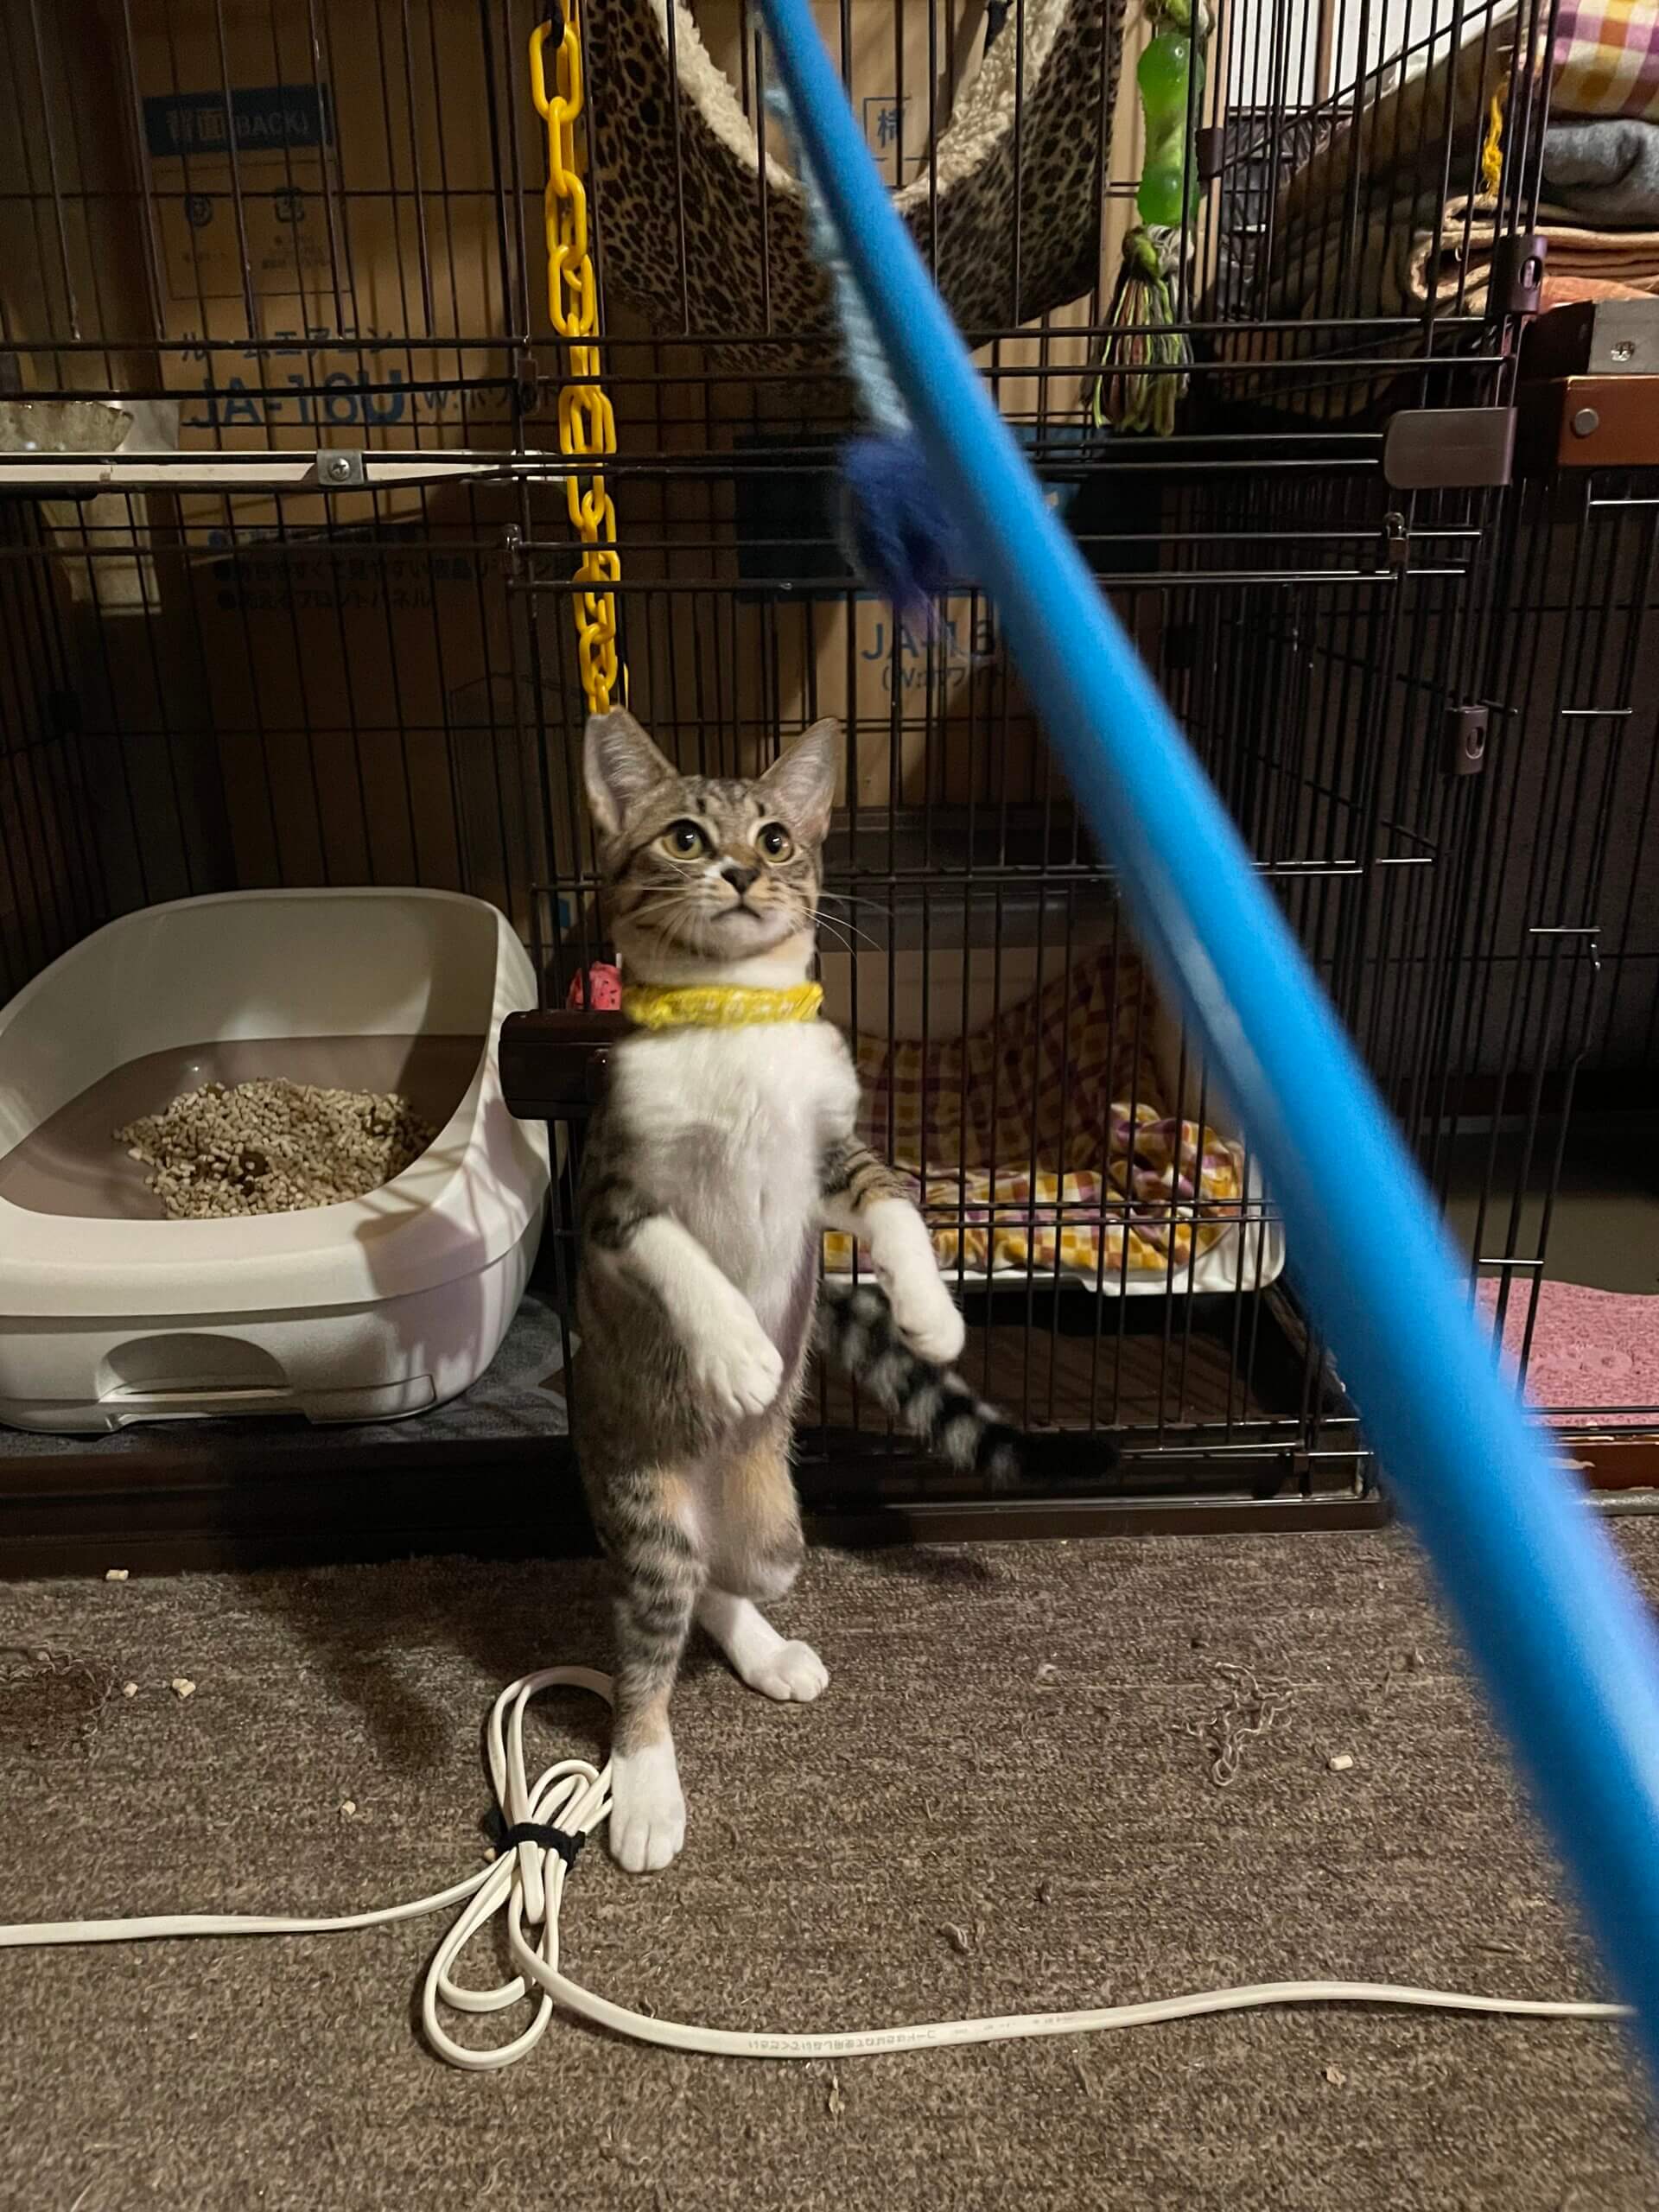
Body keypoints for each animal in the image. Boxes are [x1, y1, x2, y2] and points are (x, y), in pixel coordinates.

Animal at [573, 707, 1016, 1873]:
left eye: (776, 835)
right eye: (684, 835)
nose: (739, 868)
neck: (729, 1017)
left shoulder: (829, 1148)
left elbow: (895, 1199)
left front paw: (931, 1312)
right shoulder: (611, 1198)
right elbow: (680, 1254)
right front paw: (738, 1351)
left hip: (779, 1534)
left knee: (728, 1583)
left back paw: (766, 1649)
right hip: (643, 1500)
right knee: (652, 1631)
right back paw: (645, 1787)